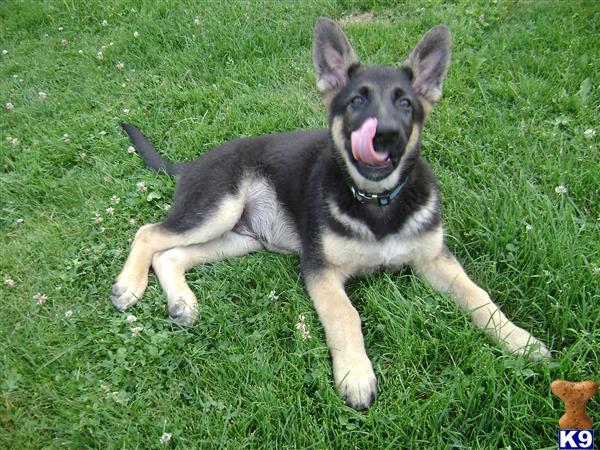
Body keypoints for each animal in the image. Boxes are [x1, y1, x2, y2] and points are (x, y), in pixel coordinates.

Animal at [111, 18, 548, 412]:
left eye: (405, 102)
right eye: (357, 101)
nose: (385, 135)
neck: (377, 203)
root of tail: (191, 164)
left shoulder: (435, 258)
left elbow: (478, 296)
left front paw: (519, 340)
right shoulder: (319, 269)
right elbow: (345, 315)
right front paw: (355, 375)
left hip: (239, 238)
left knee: (171, 255)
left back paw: (183, 303)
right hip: (219, 207)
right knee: (149, 233)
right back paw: (130, 286)